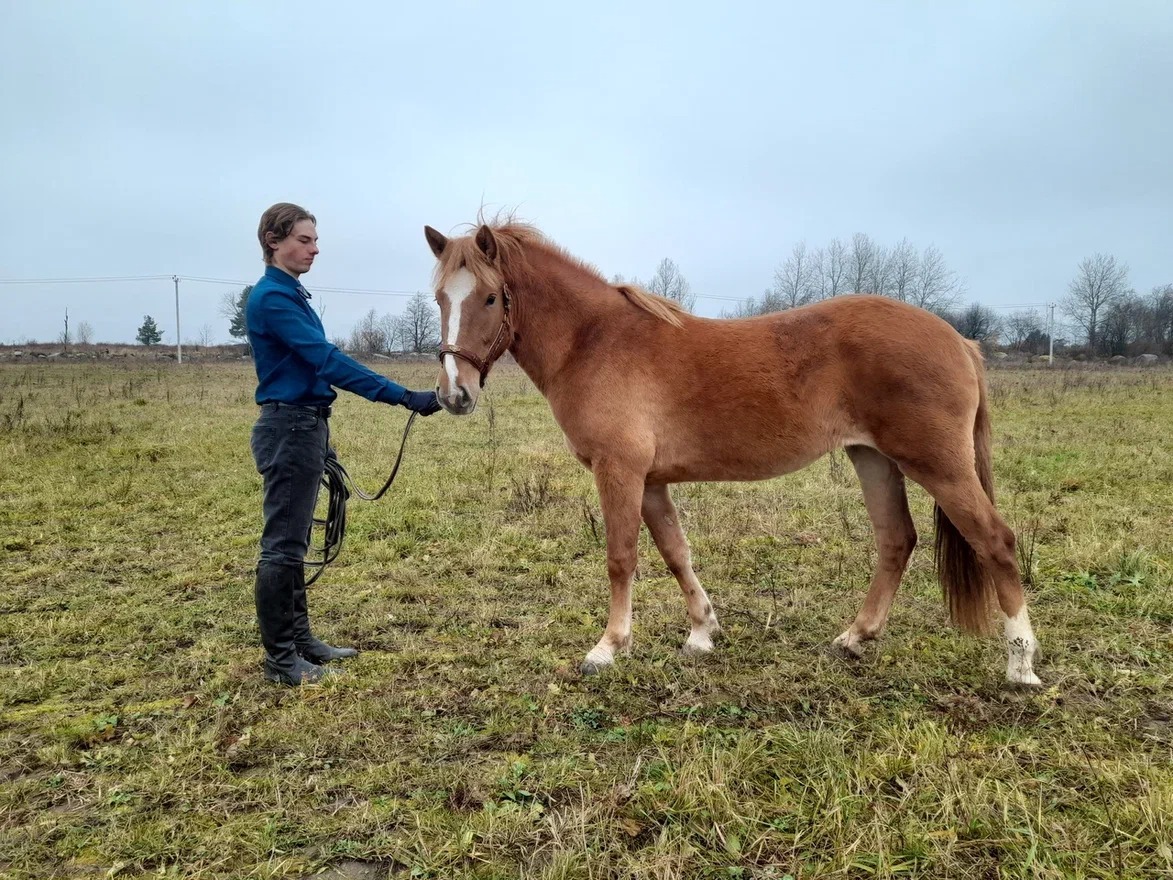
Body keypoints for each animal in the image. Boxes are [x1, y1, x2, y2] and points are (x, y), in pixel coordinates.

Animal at [424, 220, 1046, 689]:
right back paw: (855, 637)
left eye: (490, 297)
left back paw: (1021, 664)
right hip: (872, 458)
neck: (593, 340)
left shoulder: (619, 471)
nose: (454, 395)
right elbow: (676, 553)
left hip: (938, 465)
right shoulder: (651, 480)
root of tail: (959, 340)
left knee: (995, 541)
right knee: (897, 540)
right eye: (438, 298)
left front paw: (609, 647)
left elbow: (621, 557)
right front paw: (702, 632)